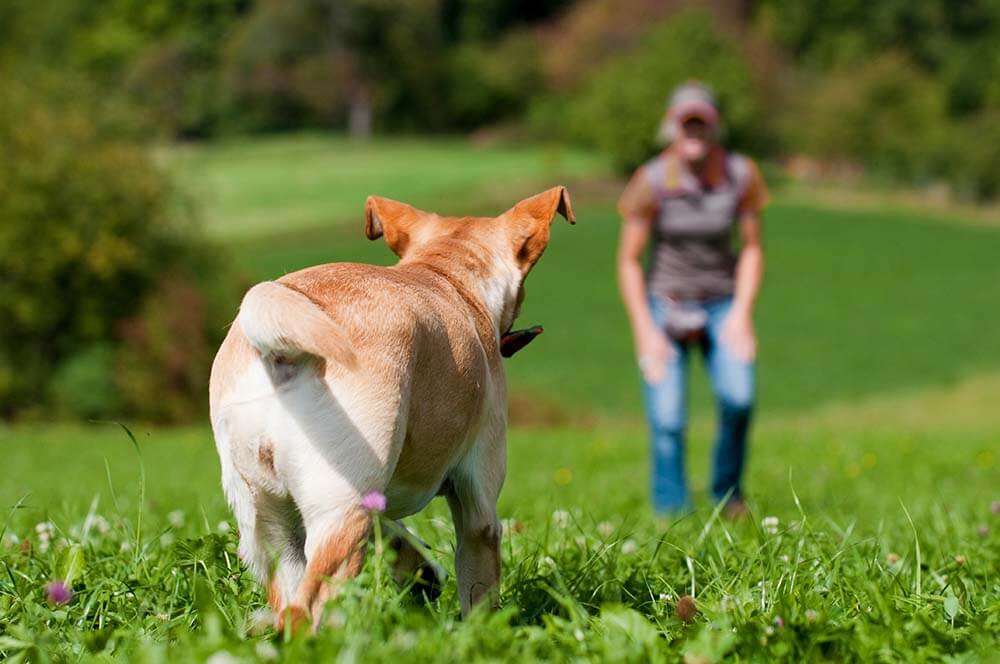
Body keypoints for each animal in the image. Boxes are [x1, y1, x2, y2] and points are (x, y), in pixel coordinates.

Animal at [207, 185, 576, 628]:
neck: (446, 275)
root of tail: (281, 351)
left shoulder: (378, 495)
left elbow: (396, 530)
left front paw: (420, 572)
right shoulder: (478, 503)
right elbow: (479, 587)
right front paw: (482, 633)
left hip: (271, 527)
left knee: (290, 598)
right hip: (341, 512)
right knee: (312, 607)